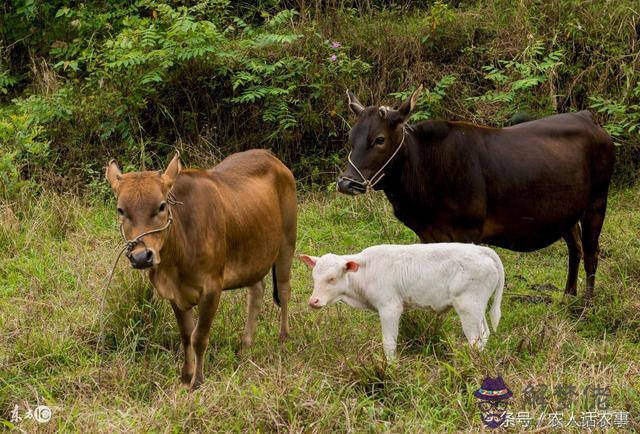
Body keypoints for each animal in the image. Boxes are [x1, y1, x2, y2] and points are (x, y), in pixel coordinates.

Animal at [106, 150, 296, 390]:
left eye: (161, 206)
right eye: (121, 210)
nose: (141, 256)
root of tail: (271, 156)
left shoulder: (212, 288)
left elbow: (199, 337)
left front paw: (197, 380)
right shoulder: (173, 293)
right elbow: (186, 335)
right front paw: (186, 376)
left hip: (287, 243)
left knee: (284, 289)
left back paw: (283, 339)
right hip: (255, 253)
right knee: (256, 293)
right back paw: (245, 346)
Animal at [300, 244, 504, 360]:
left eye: (332, 279)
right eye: (314, 277)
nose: (313, 301)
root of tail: (481, 250)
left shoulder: (390, 307)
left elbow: (389, 342)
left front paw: (391, 365)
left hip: (468, 306)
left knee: (475, 338)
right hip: (477, 307)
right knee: (484, 333)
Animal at [340, 87, 616, 306]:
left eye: (379, 139)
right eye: (350, 138)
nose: (346, 182)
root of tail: (588, 117)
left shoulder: (469, 232)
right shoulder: (429, 235)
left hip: (597, 201)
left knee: (591, 252)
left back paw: (586, 305)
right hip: (567, 212)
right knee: (575, 248)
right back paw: (568, 296)